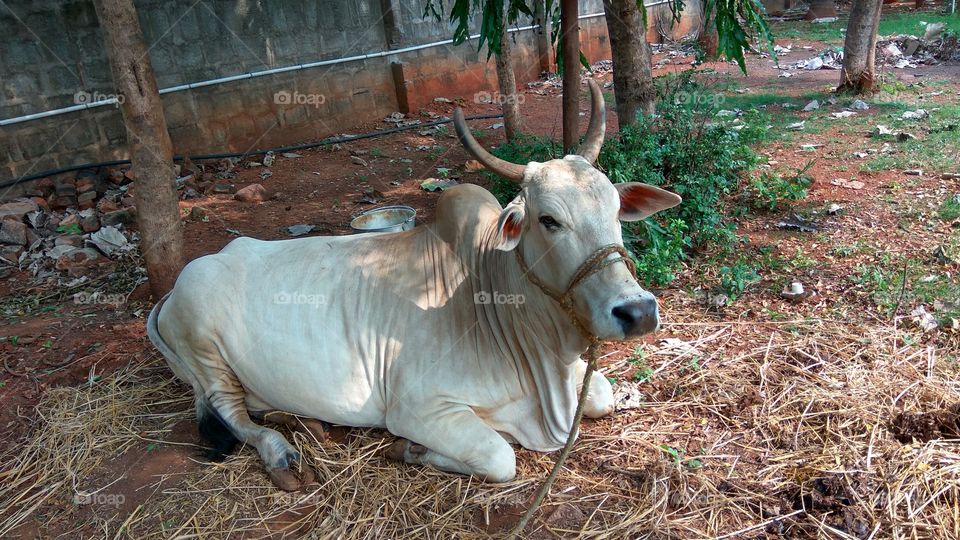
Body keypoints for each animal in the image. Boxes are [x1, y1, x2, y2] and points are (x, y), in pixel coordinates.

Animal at [147, 80, 681, 491]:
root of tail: (180, 284)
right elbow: (499, 457)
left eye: (616, 208)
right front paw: (409, 450)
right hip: (207, 355)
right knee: (233, 416)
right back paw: (280, 451)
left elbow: (603, 396)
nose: (637, 312)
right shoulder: (420, 405)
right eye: (549, 220)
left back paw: (300, 421)